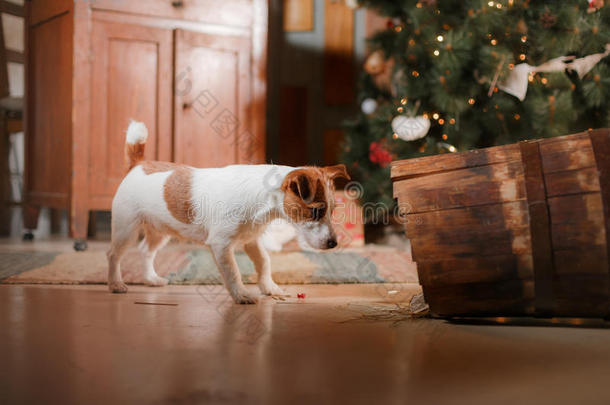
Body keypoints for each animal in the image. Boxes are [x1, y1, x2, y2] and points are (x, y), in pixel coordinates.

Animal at [107, 120, 350, 304]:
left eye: (333, 210)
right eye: (316, 212)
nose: (334, 244)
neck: (262, 199)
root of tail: (138, 164)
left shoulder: (251, 239)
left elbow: (264, 262)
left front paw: (269, 288)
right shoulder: (221, 244)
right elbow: (233, 271)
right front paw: (242, 295)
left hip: (160, 231)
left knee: (146, 251)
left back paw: (151, 279)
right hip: (126, 229)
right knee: (113, 254)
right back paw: (116, 283)